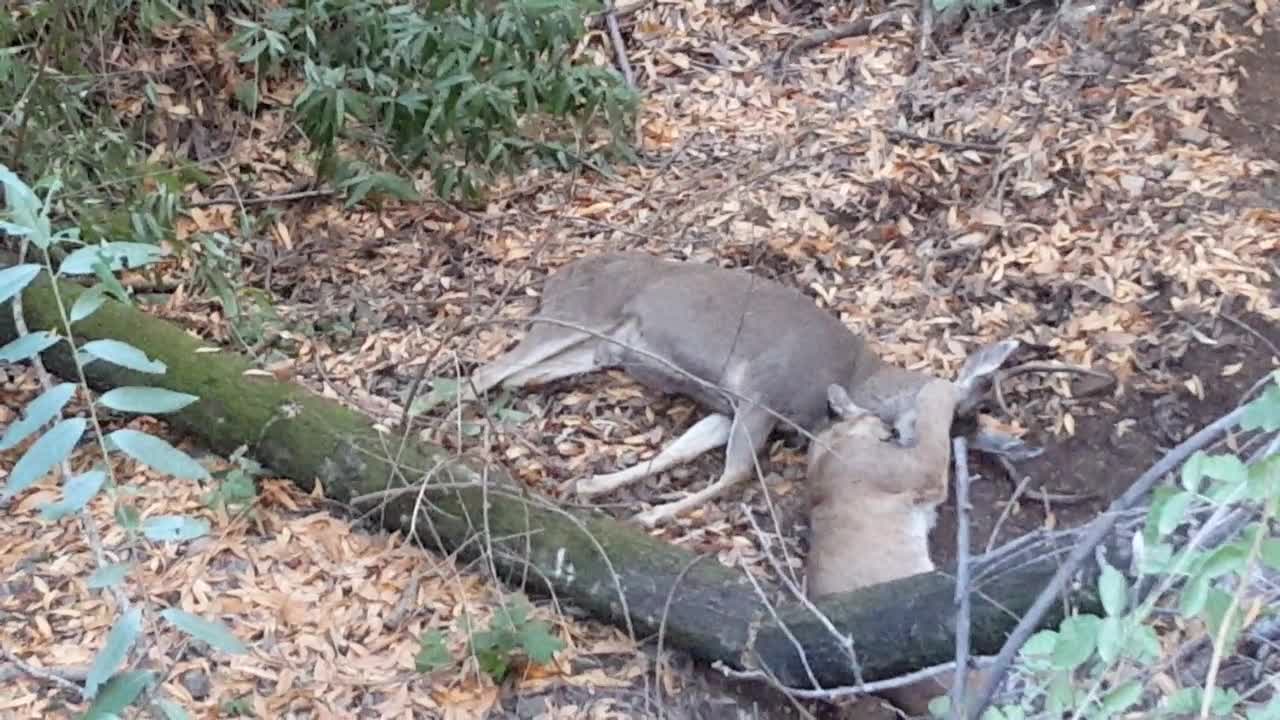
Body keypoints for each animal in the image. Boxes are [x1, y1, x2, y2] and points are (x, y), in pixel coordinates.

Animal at [460, 252, 1029, 527]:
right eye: (953, 420)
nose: (928, 480)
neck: (853, 376)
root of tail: (557, 275)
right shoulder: (762, 392)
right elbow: (735, 473)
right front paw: (651, 514)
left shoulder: (730, 407)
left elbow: (680, 450)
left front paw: (591, 486)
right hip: (575, 314)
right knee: (486, 372)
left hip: (599, 347)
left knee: (514, 375)